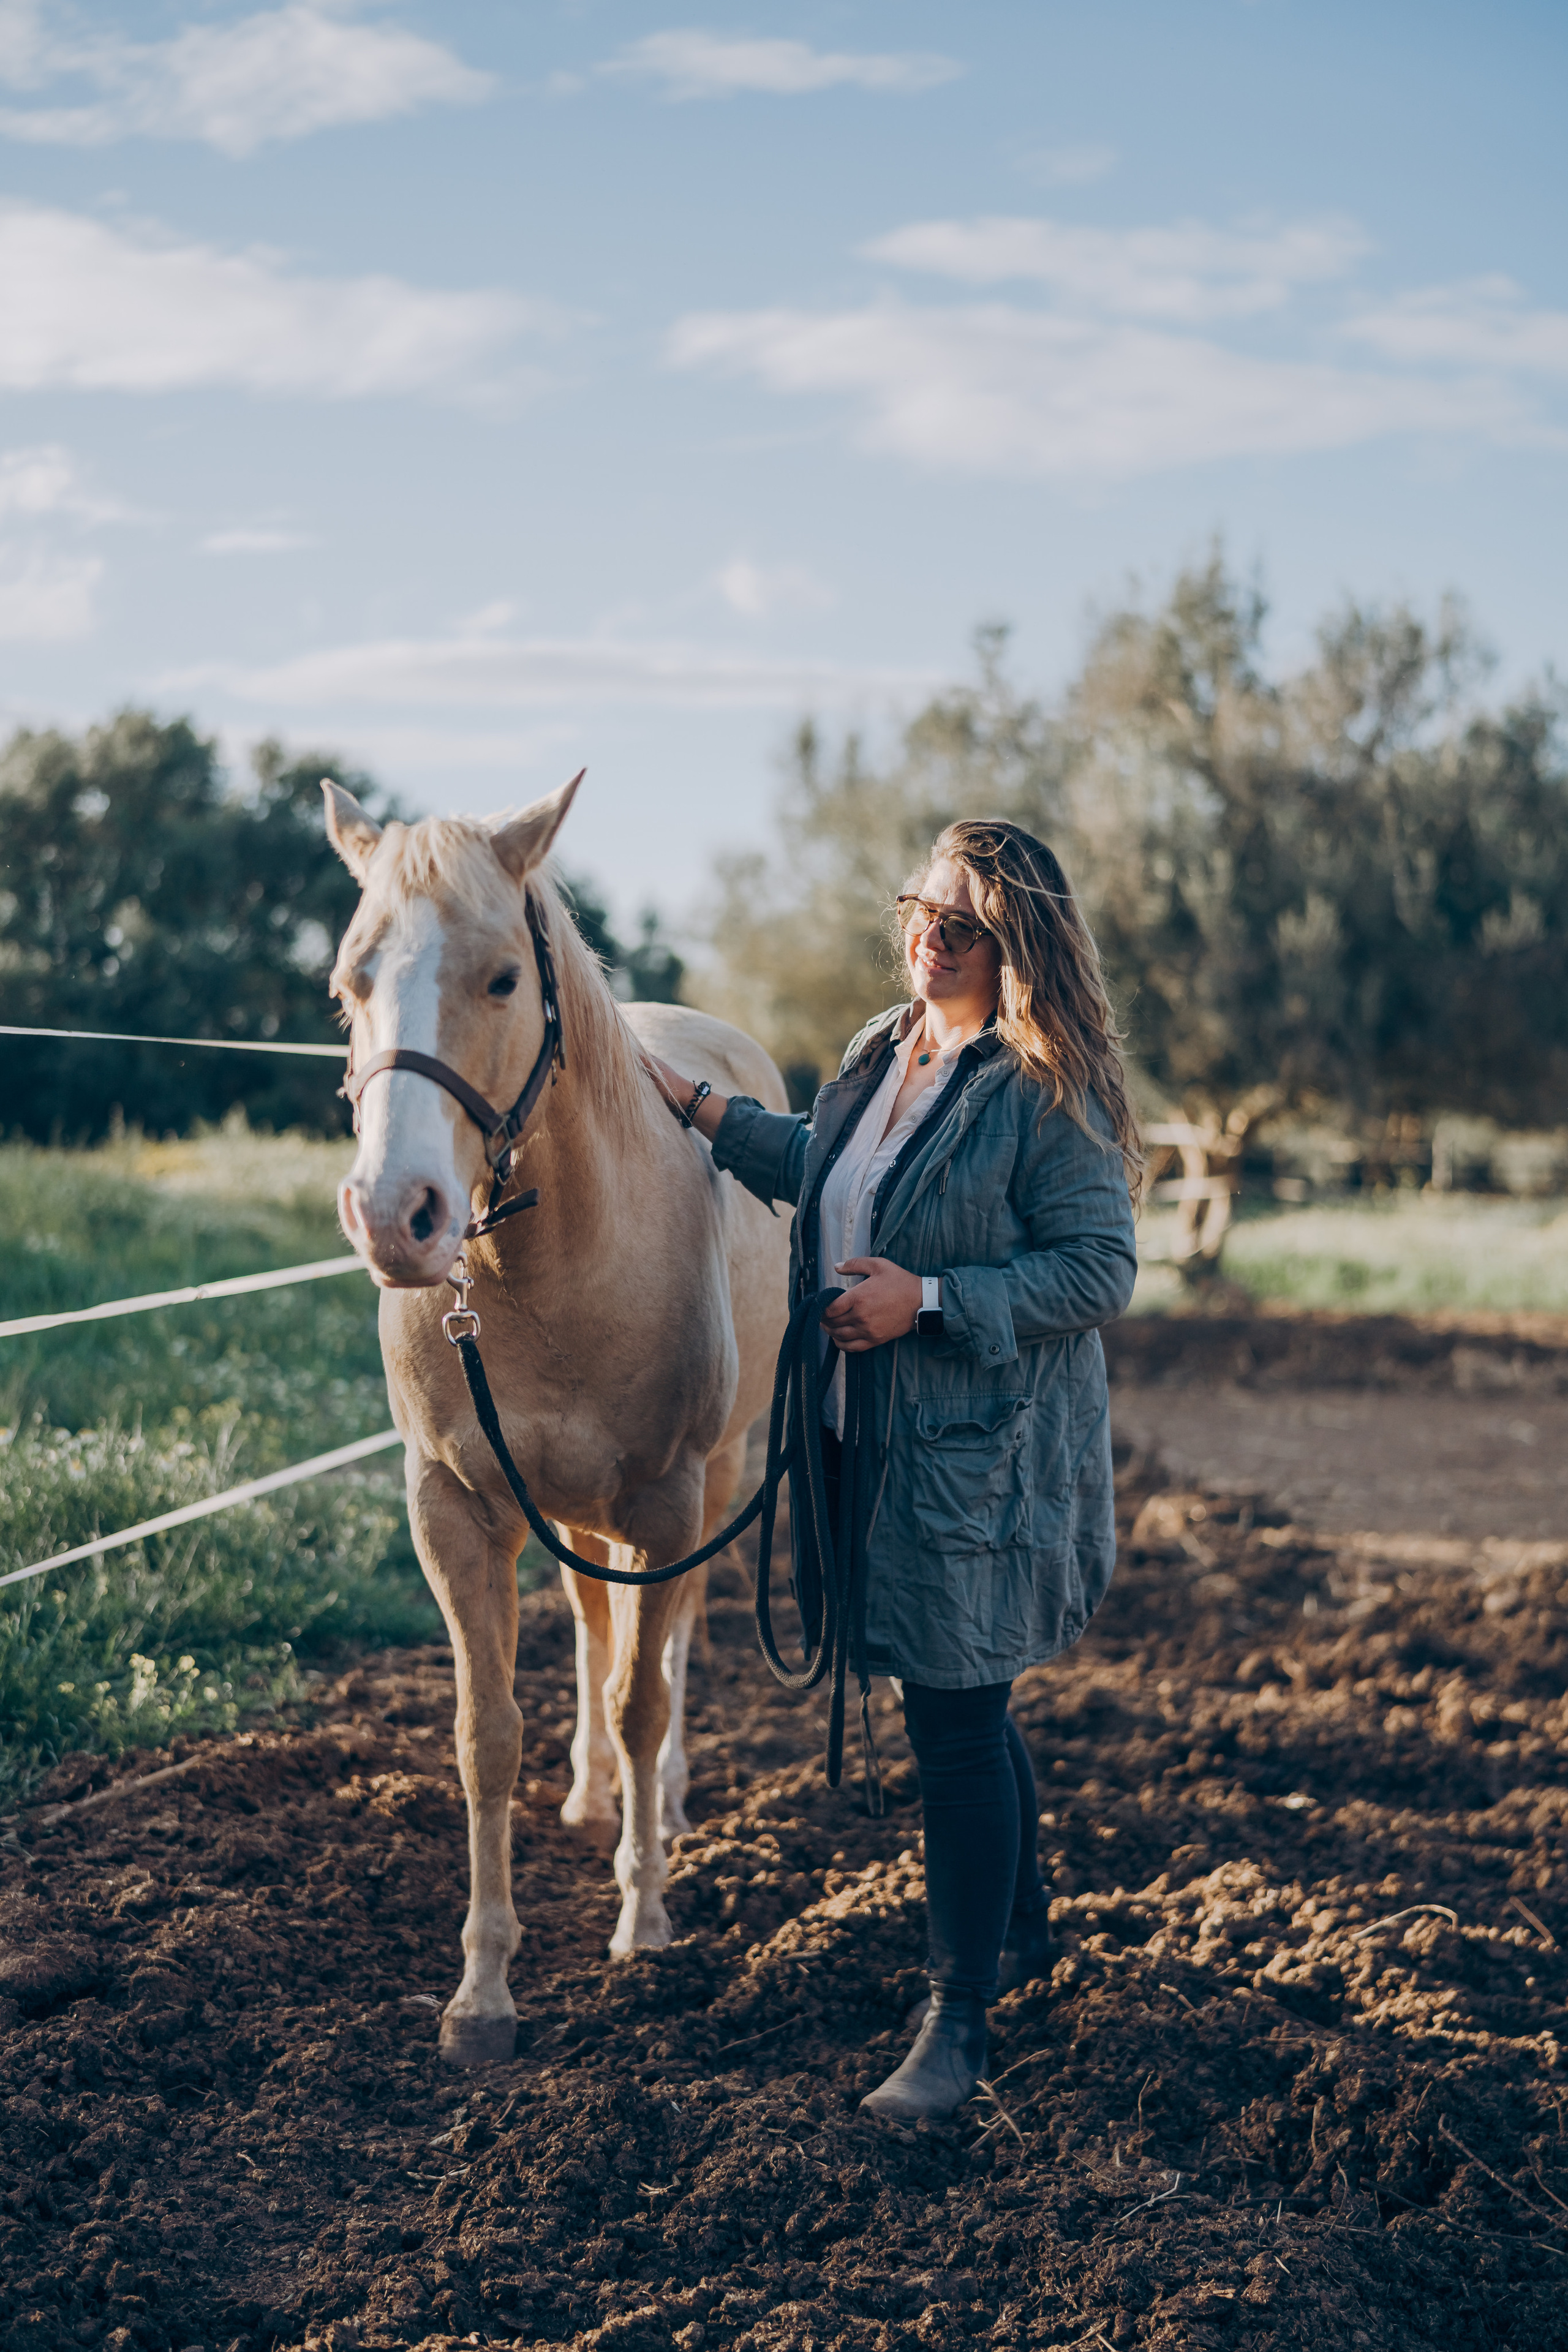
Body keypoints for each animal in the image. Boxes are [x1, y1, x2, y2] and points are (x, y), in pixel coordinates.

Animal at [322, 771, 792, 2064]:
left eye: (500, 979)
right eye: (347, 984)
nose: (399, 1213)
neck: (551, 1264)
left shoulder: (668, 1501)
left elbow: (643, 1696)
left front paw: (644, 1922)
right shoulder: (455, 1512)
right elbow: (487, 1737)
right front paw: (482, 1993)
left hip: (717, 1482)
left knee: (665, 1648)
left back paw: (659, 1807)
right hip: (575, 1511)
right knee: (592, 1621)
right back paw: (589, 1798)